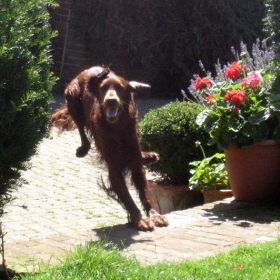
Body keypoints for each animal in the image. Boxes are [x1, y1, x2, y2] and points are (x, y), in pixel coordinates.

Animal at [51, 66, 167, 231]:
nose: (111, 101)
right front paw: (139, 219)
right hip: (72, 96)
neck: (117, 128)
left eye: (120, 88)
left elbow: (146, 193)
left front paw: (155, 215)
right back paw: (83, 148)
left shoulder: (136, 162)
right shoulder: (114, 168)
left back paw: (149, 155)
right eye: (103, 88)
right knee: (80, 127)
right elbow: (127, 196)